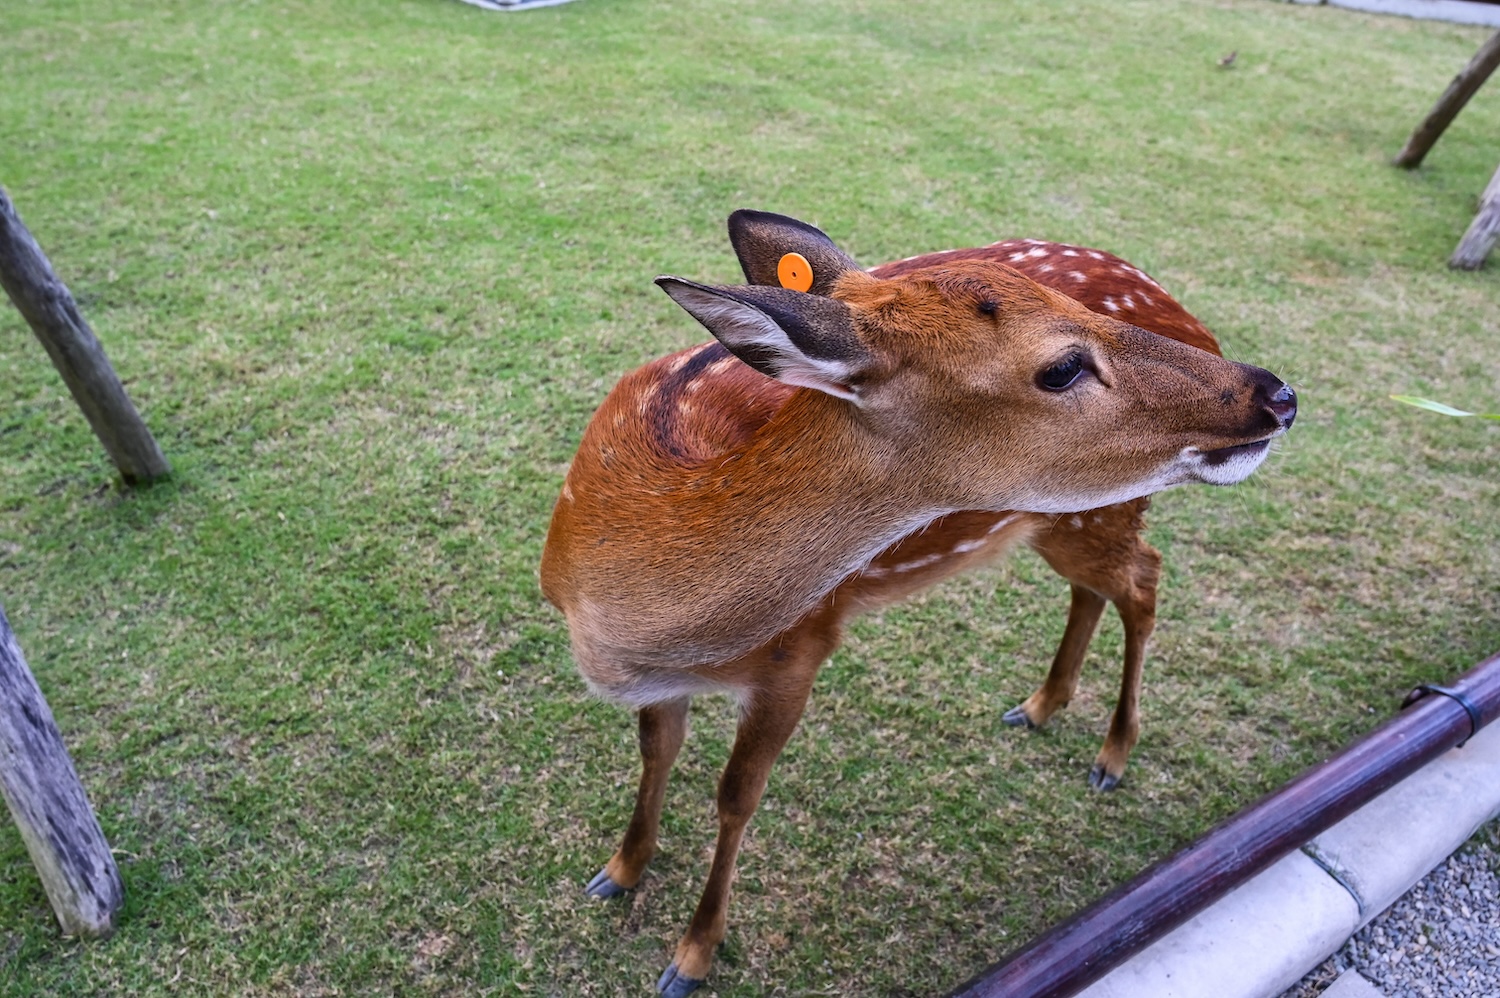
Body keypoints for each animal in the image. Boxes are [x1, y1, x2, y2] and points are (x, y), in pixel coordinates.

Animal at [537, 205, 1290, 990]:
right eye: (1062, 366)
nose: (1278, 393)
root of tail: (1193, 317)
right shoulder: (665, 681)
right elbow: (657, 752)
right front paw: (619, 870)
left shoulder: (799, 649)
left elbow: (736, 795)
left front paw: (691, 955)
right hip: (1063, 518)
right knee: (1100, 587)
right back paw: (1039, 706)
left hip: (1098, 513)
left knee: (1144, 577)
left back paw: (1111, 757)